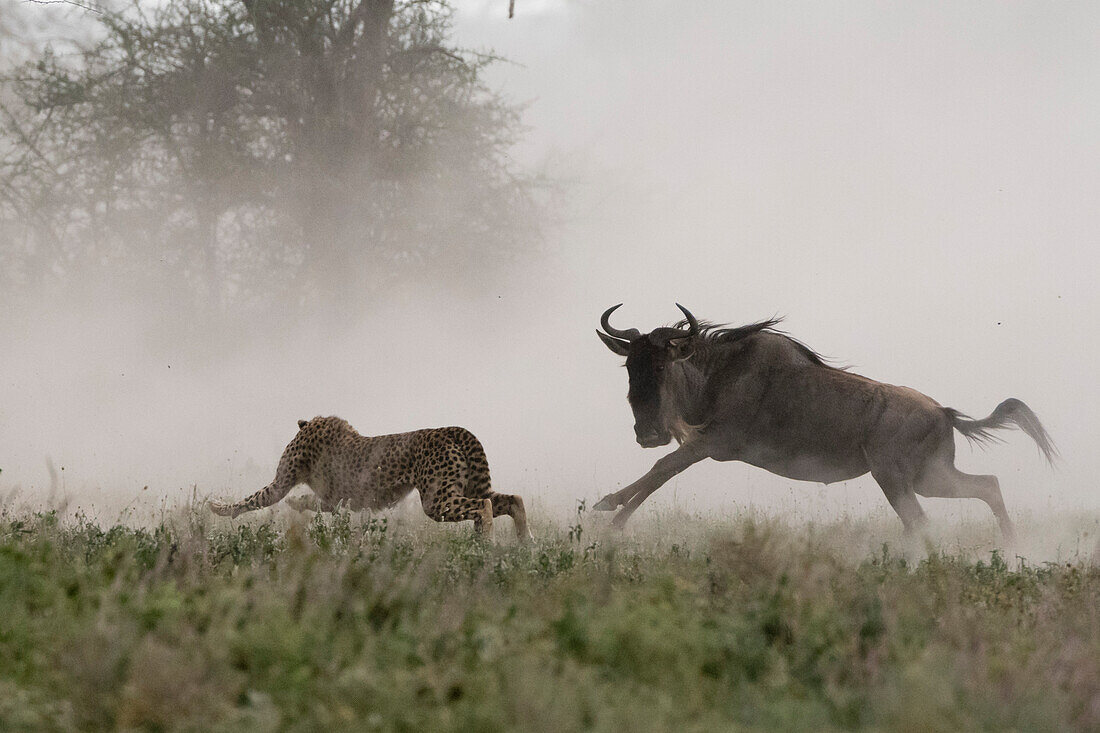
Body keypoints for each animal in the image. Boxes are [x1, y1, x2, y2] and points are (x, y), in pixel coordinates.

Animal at [210, 413, 532, 539]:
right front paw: (297, 503)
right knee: (513, 499)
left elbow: (255, 498)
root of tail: (450, 429)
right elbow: (315, 503)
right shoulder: (340, 500)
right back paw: (524, 544)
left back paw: (485, 543)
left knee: (484, 507)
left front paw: (218, 508)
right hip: (467, 488)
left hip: (436, 501)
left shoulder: (284, 484)